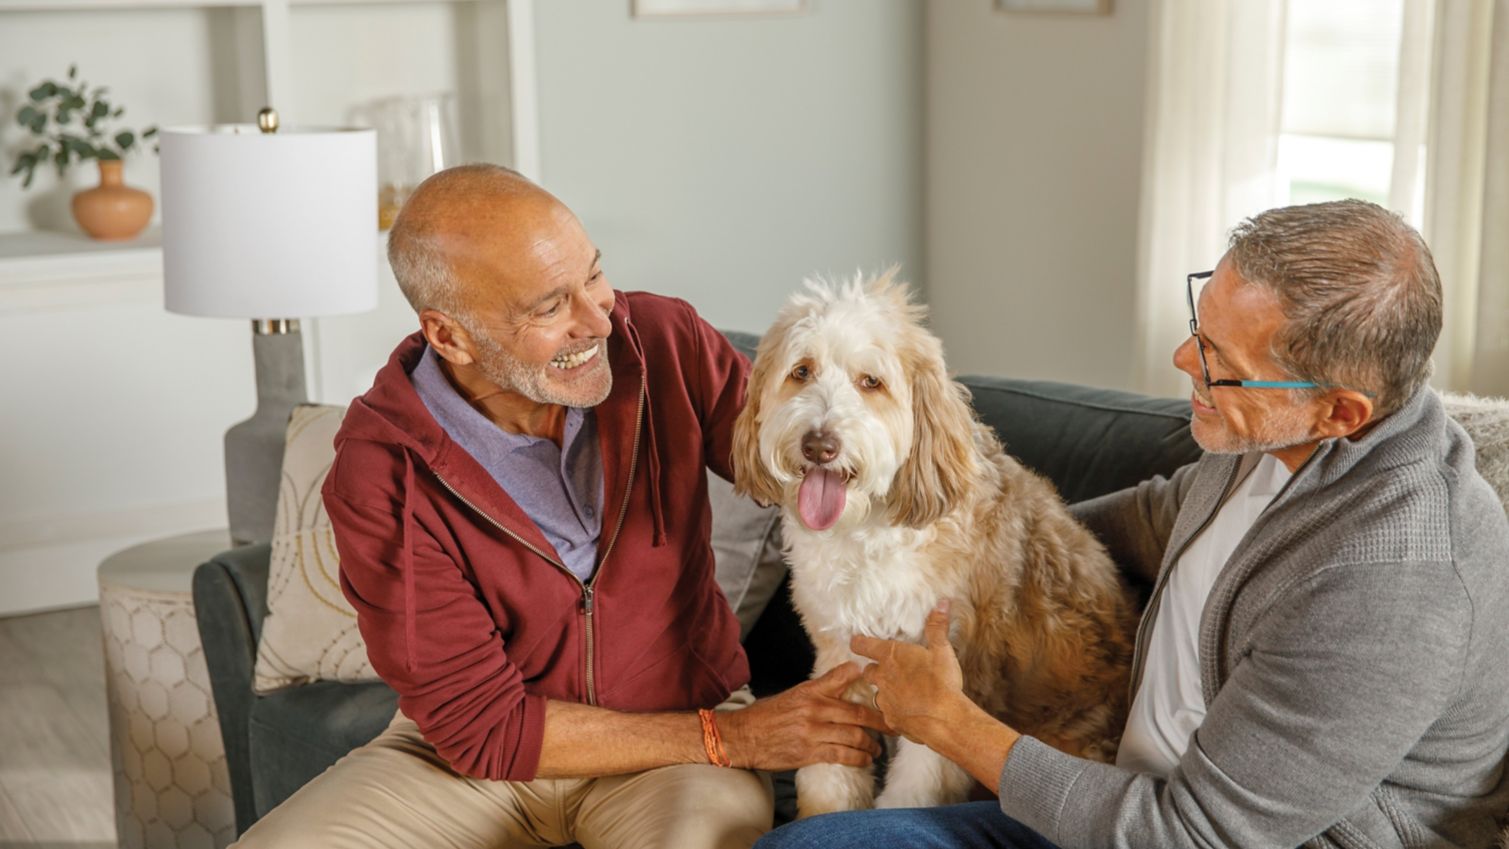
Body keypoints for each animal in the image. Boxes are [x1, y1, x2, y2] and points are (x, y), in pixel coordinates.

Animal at [727, 272, 1134, 814]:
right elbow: (830, 778)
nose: (819, 445)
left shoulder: (945, 685)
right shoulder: (839, 661)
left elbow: (916, 784)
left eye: (870, 382)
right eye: (801, 371)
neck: (868, 532)